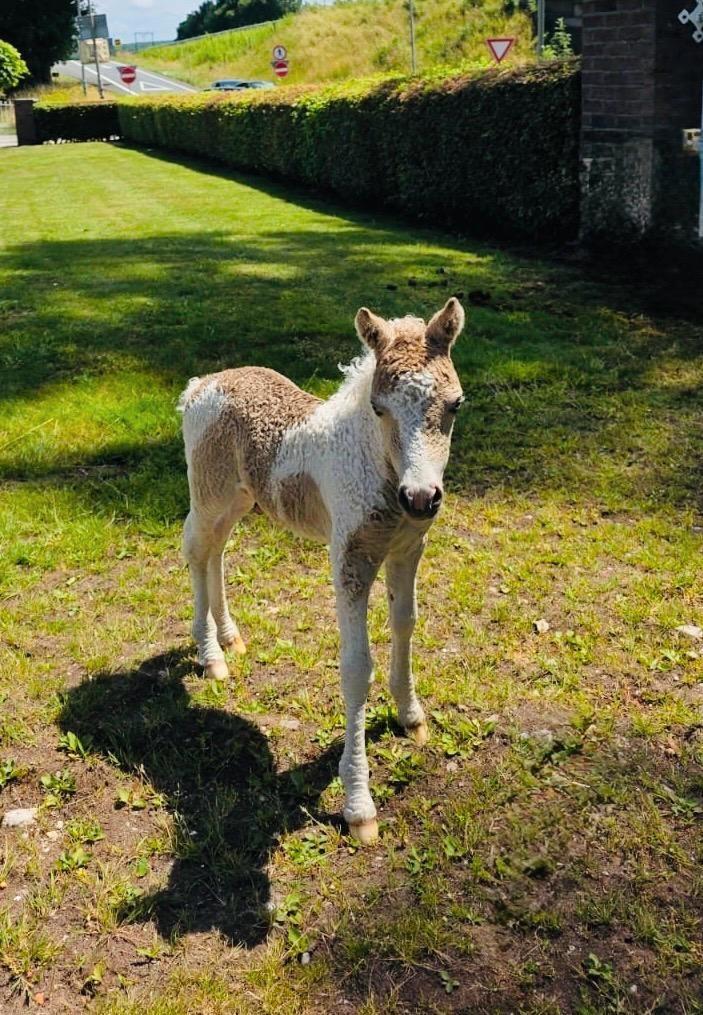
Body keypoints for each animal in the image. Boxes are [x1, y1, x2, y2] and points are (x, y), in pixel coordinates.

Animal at [179, 298, 465, 843]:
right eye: (379, 408)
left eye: (456, 405)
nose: (421, 498)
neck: (374, 466)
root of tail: (200, 385)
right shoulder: (349, 559)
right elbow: (355, 667)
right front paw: (358, 806)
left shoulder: (408, 548)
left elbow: (406, 624)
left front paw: (411, 717)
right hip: (209, 492)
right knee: (197, 549)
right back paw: (211, 656)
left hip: (241, 497)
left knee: (217, 551)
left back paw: (229, 637)